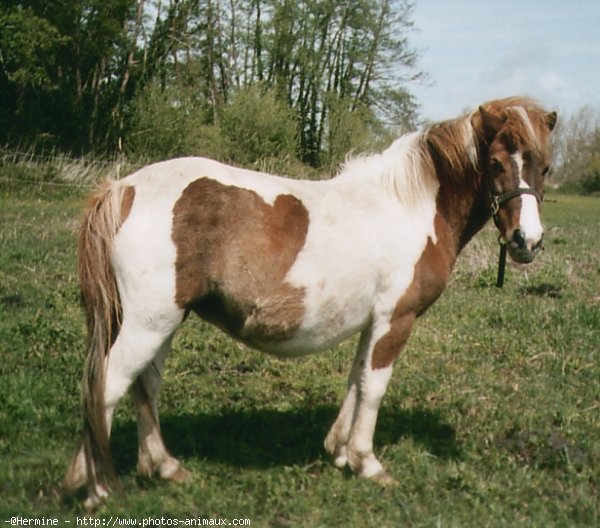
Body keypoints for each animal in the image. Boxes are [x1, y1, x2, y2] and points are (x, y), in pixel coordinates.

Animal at [63, 96, 556, 508]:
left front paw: (339, 452)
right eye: (495, 163)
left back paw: (162, 467)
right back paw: (95, 488)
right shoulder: (396, 320)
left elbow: (357, 380)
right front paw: (366, 462)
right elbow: (374, 388)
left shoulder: (372, 322)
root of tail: (123, 188)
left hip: (161, 321)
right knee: (106, 387)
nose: (526, 241)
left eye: (546, 167)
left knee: (144, 387)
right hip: (149, 323)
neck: (413, 207)